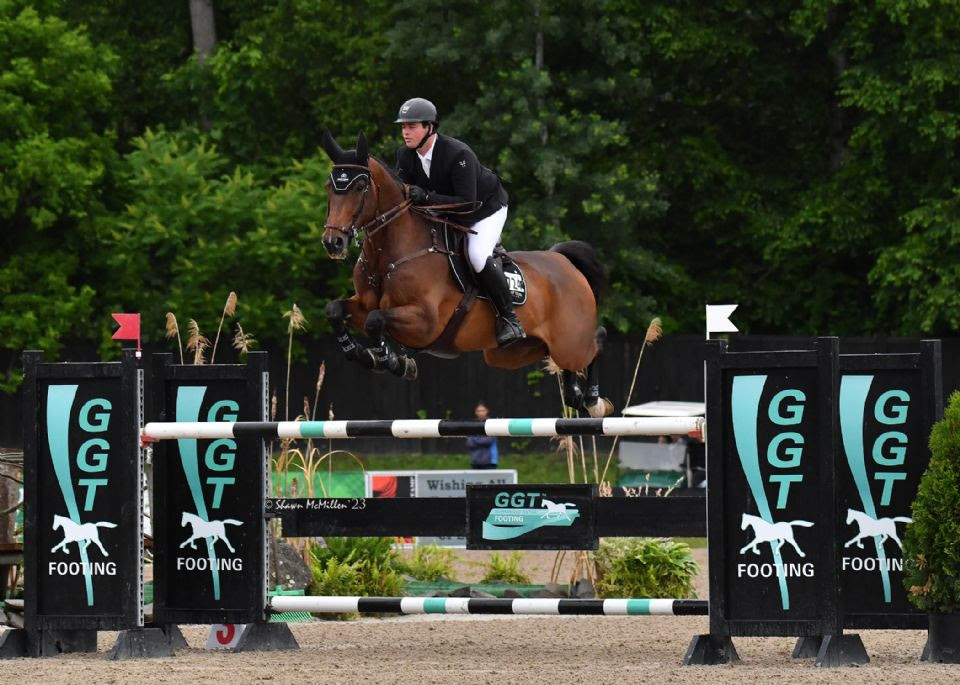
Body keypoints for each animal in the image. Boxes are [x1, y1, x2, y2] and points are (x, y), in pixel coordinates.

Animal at [318, 130, 612, 414]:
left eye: (359, 187)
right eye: (329, 187)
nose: (333, 242)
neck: (390, 254)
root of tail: (565, 263)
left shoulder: (425, 322)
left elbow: (375, 320)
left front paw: (391, 360)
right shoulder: (364, 304)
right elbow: (335, 310)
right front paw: (367, 355)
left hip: (569, 341)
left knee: (596, 341)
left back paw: (593, 400)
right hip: (514, 352)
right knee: (563, 358)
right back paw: (574, 393)